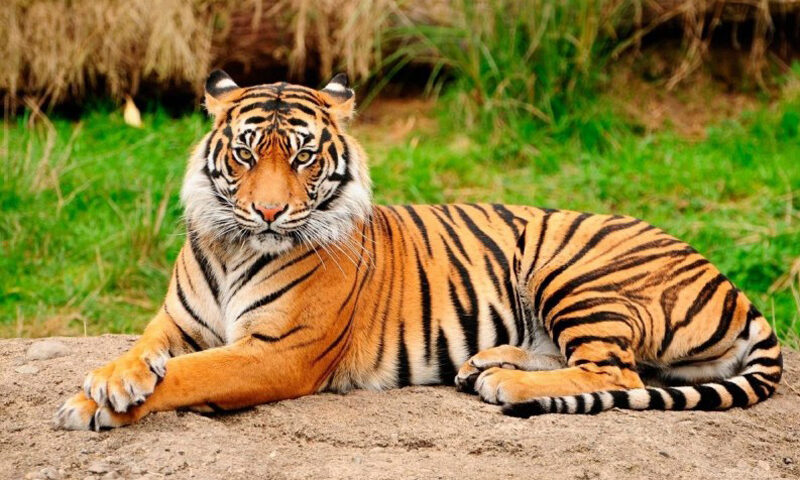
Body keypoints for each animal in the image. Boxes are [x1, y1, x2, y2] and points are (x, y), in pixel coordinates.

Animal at [55, 70, 783, 430]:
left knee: (619, 374)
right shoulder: (175, 322)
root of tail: (731, 283)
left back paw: (506, 383)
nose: (268, 211)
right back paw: (486, 363)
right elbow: (144, 352)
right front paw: (109, 381)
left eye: (303, 156)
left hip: (574, 270)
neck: (236, 247)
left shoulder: (278, 352)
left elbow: (192, 374)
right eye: (245, 153)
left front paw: (94, 404)